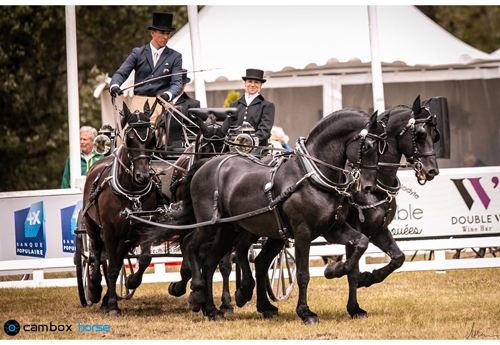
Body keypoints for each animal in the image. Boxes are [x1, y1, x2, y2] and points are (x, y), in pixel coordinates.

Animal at [150, 108, 388, 322]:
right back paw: (197, 293)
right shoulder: (303, 232)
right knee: (190, 244)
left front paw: (336, 270)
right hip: (210, 225)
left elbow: (361, 243)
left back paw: (212, 309)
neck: (312, 175)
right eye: (368, 146)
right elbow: (303, 274)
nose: (369, 187)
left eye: (382, 148)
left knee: (211, 263)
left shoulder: (333, 229)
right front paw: (306, 312)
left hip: (229, 229)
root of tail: (205, 164)